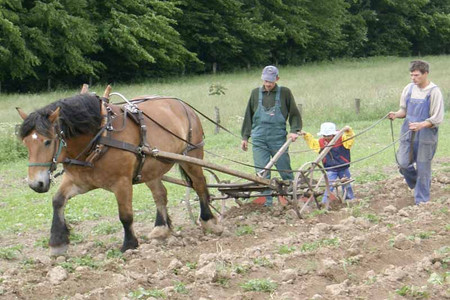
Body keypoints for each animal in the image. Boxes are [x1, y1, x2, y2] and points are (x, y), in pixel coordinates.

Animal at [16, 86, 222, 255]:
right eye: (25, 143)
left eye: (47, 141)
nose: (35, 184)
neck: (100, 138)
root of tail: (183, 105)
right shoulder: (79, 180)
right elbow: (58, 201)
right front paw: (57, 242)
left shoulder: (122, 183)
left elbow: (125, 215)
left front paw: (129, 244)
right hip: (151, 167)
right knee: (160, 194)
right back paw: (161, 228)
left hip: (192, 156)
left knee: (200, 184)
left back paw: (209, 221)